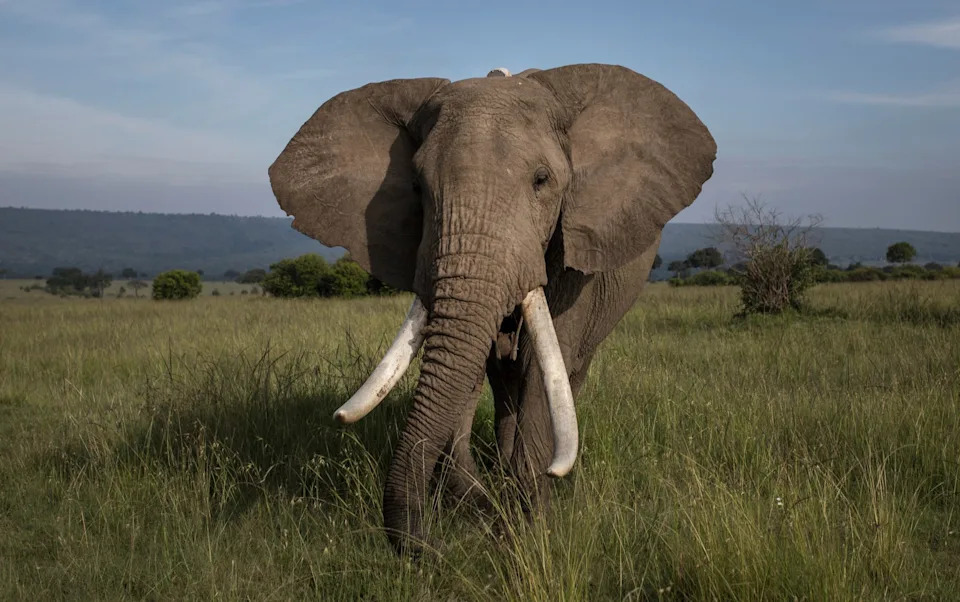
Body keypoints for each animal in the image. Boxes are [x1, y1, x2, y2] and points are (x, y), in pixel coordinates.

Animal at [268, 63, 716, 553]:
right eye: (416, 188)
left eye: (542, 180)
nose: (427, 550)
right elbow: (467, 363)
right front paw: (491, 507)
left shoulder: (574, 247)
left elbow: (544, 367)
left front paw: (531, 527)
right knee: (503, 379)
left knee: (568, 371)